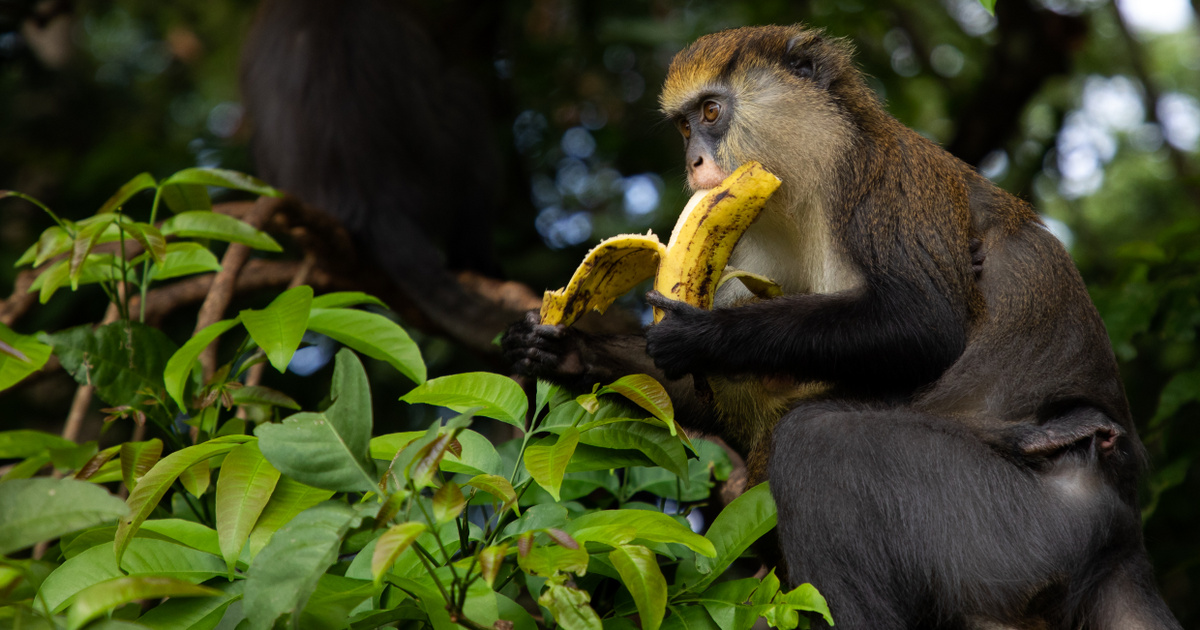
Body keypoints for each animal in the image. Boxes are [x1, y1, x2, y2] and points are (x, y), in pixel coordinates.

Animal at [499, 24, 1180, 628]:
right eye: (686, 125)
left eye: (713, 112)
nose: (694, 161)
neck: (808, 180)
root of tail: (1121, 530)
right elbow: (706, 394)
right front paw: (563, 350)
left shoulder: (878, 178)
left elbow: (924, 325)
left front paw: (703, 336)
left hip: (1015, 525)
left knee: (818, 441)